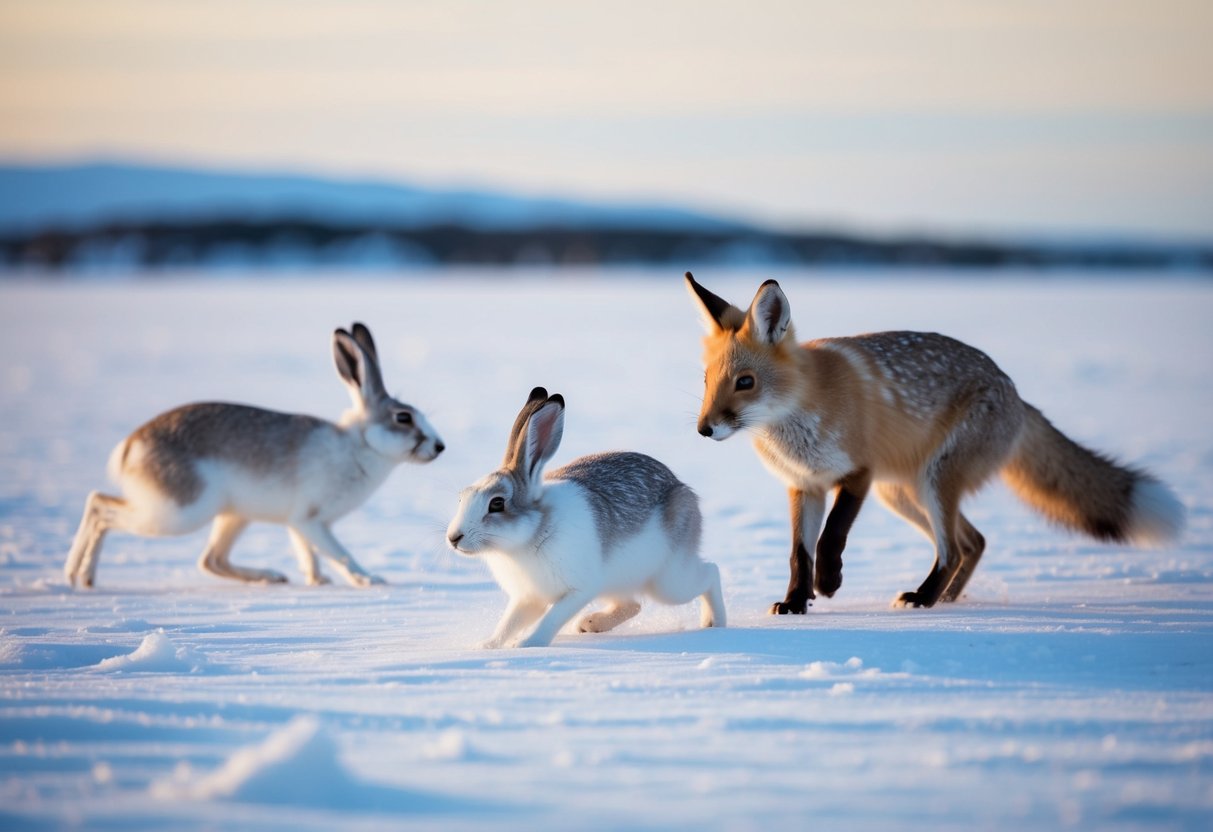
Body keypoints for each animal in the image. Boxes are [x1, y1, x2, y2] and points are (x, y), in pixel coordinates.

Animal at [685, 272, 1185, 612]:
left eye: (745, 382)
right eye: (708, 380)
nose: (704, 429)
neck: (802, 409)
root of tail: (1016, 392)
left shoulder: (858, 474)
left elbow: (830, 538)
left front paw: (828, 584)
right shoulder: (803, 485)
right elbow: (797, 553)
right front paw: (794, 602)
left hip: (931, 481)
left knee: (954, 548)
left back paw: (924, 597)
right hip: (903, 493)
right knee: (975, 541)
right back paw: (945, 599)